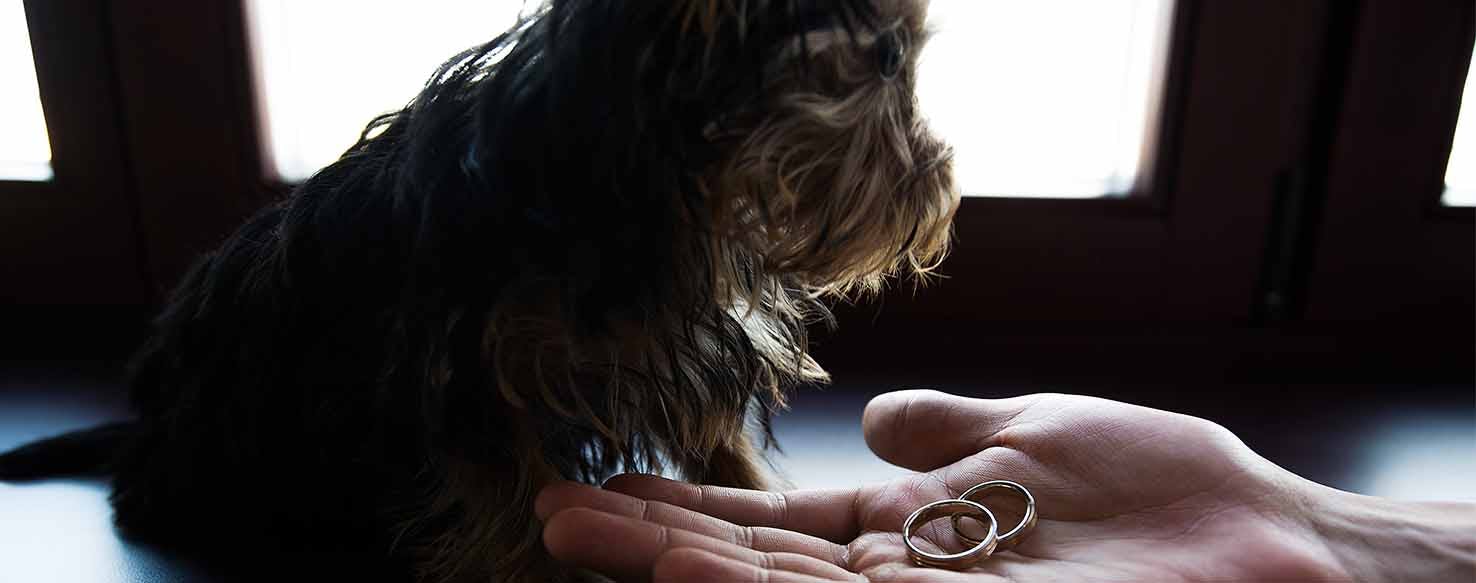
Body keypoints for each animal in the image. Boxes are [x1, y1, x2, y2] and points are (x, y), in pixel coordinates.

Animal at [0, 2, 956, 581]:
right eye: (888, 58)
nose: (944, 185)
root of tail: (145, 437)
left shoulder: (673, 339)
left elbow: (716, 445)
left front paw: (754, 494)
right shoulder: (461, 377)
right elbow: (518, 503)